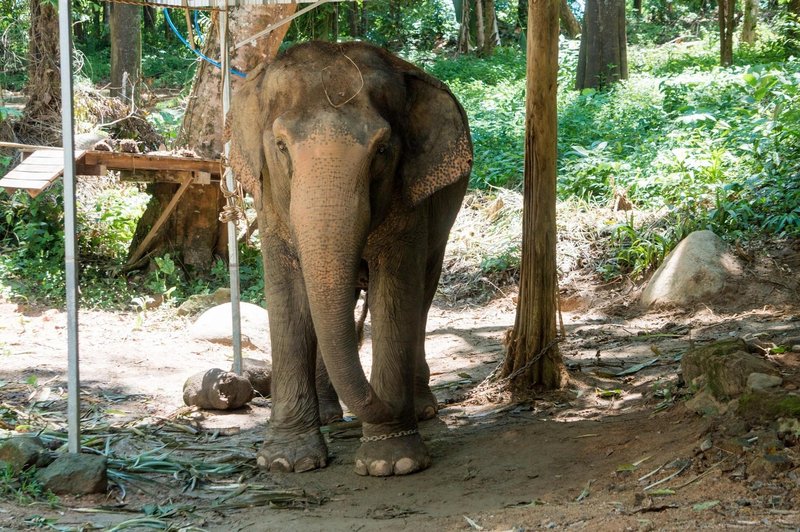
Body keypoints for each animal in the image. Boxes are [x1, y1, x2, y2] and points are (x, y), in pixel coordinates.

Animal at [228, 39, 472, 476]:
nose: (383, 405)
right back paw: (330, 415)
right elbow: (287, 296)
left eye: (382, 149)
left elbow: (394, 294)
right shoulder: (269, 200)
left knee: (423, 295)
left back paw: (421, 408)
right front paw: (286, 462)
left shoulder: (409, 206)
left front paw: (393, 463)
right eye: (281, 146)